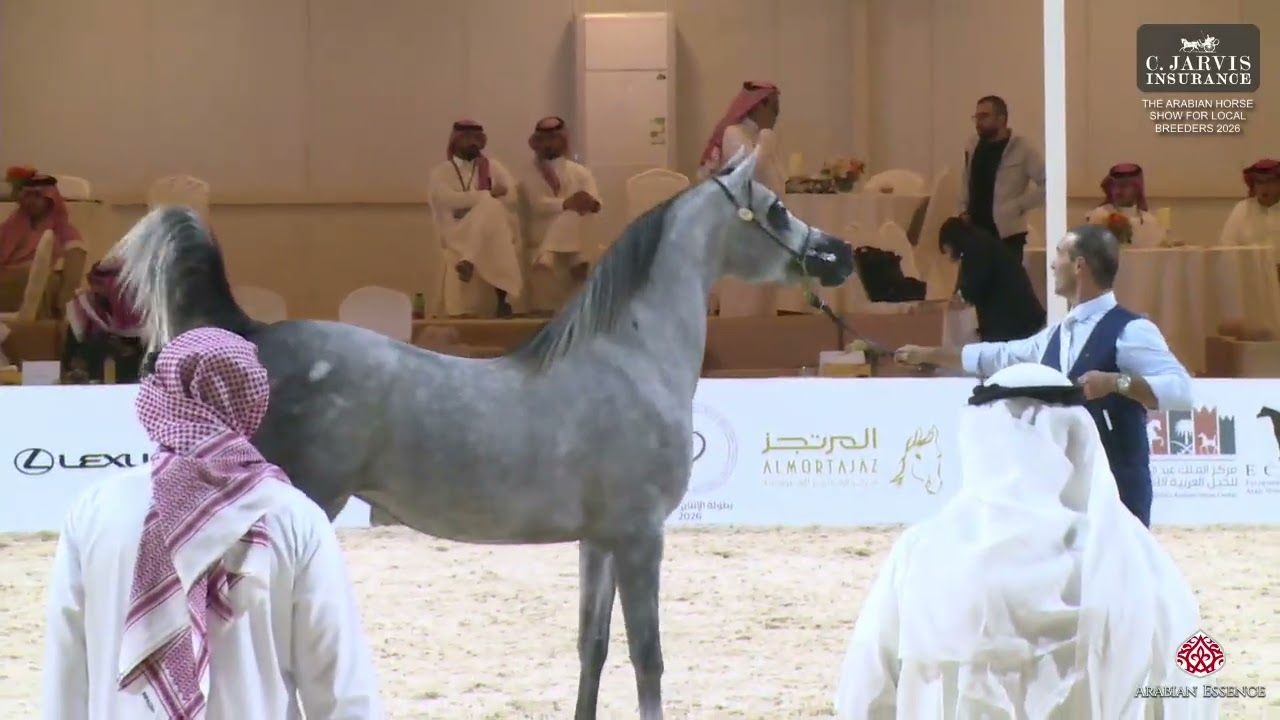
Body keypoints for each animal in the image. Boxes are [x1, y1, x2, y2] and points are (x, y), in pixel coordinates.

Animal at [108, 147, 854, 720]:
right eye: (777, 208)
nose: (841, 254)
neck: (633, 359)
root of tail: (252, 336)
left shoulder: (601, 540)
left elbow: (593, 646)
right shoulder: (643, 537)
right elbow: (649, 656)